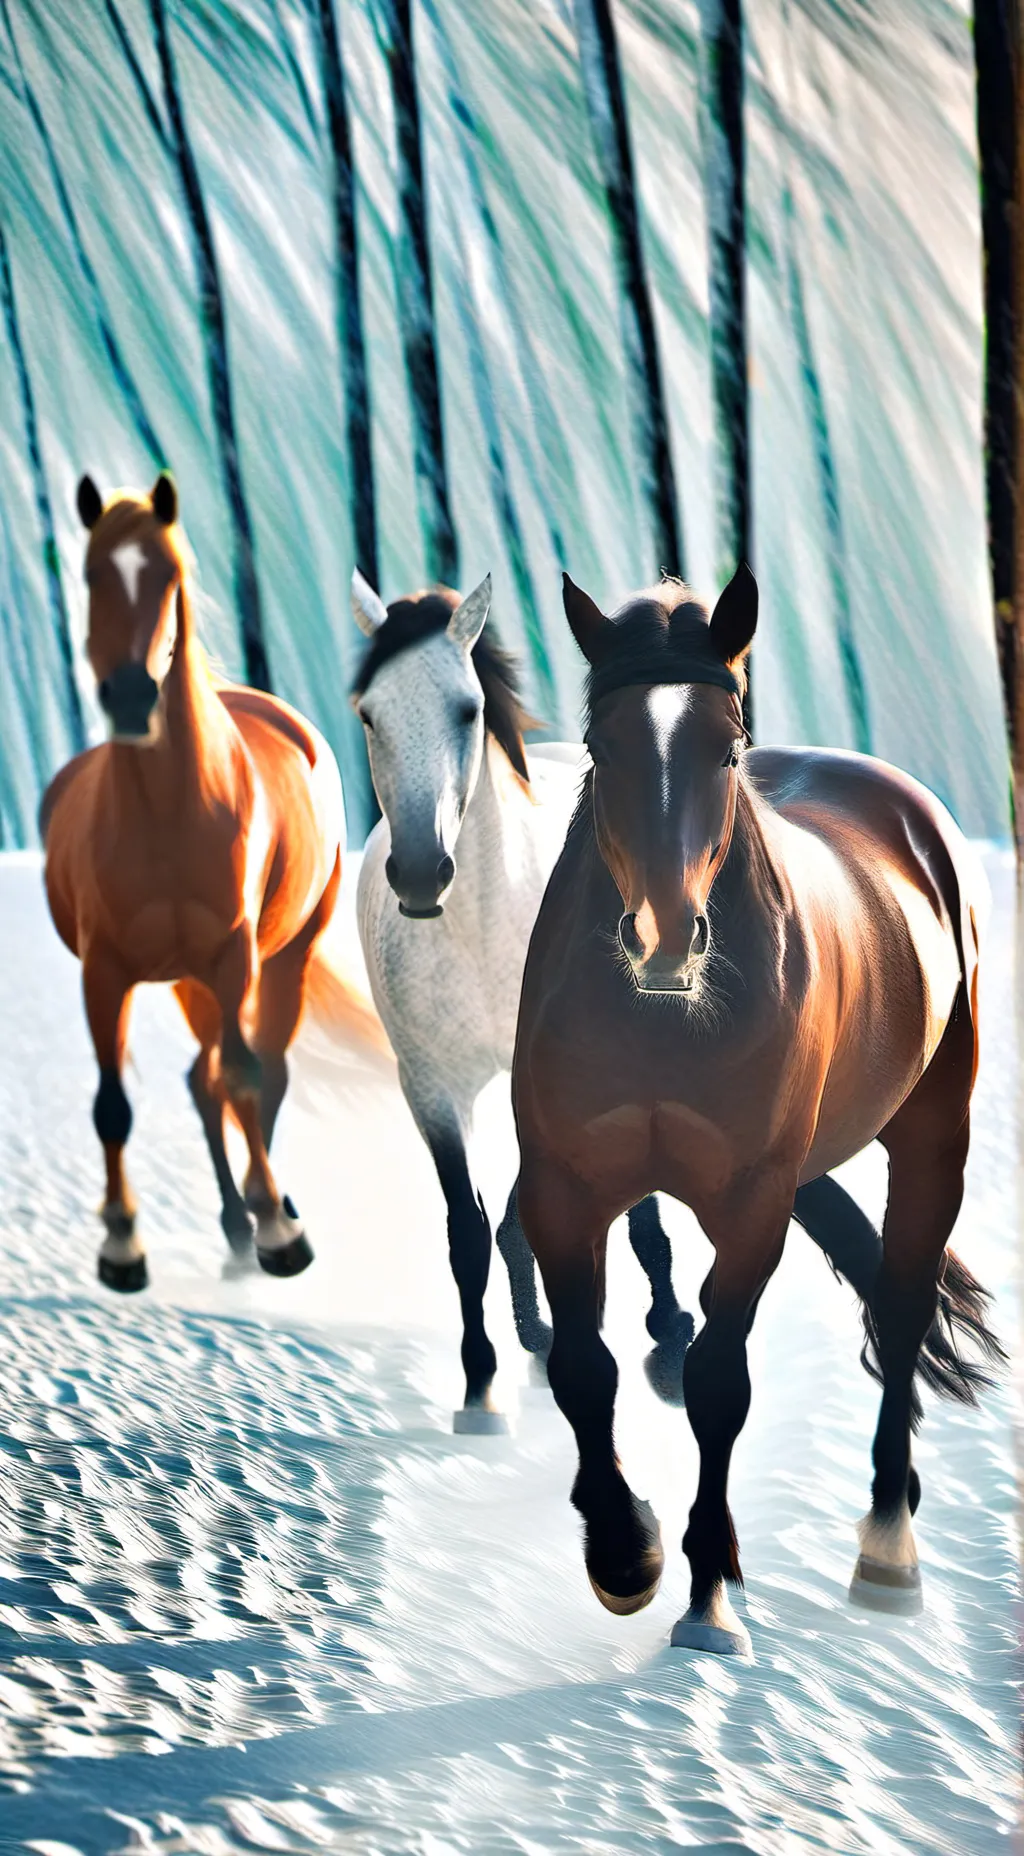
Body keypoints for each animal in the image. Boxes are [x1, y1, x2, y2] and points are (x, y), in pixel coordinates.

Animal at [42, 472, 385, 1291]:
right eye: (91, 574)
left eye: (168, 577)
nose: (132, 698)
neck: (168, 814)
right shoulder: (105, 973)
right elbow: (113, 1105)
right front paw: (121, 1247)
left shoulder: (234, 958)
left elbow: (248, 1078)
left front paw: (282, 1235)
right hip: (185, 980)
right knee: (205, 1081)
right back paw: (234, 1229)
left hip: (278, 960)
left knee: (260, 1071)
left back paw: (268, 1216)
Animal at [349, 569, 695, 1432]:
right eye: (369, 712)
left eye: (466, 710)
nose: (420, 872)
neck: (483, 928)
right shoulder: (433, 1089)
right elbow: (468, 1232)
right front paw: (481, 1392)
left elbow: (639, 1214)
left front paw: (669, 1347)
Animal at [512, 563, 1004, 1653]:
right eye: (601, 748)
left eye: (724, 749)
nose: (663, 940)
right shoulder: (566, 1184)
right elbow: (583, 1366)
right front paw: (626, 1555)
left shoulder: (749, 1203)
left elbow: (716, 1381)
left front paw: (708, 1598)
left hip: (933, 1135)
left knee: (900, 1305)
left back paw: (888, 1548)